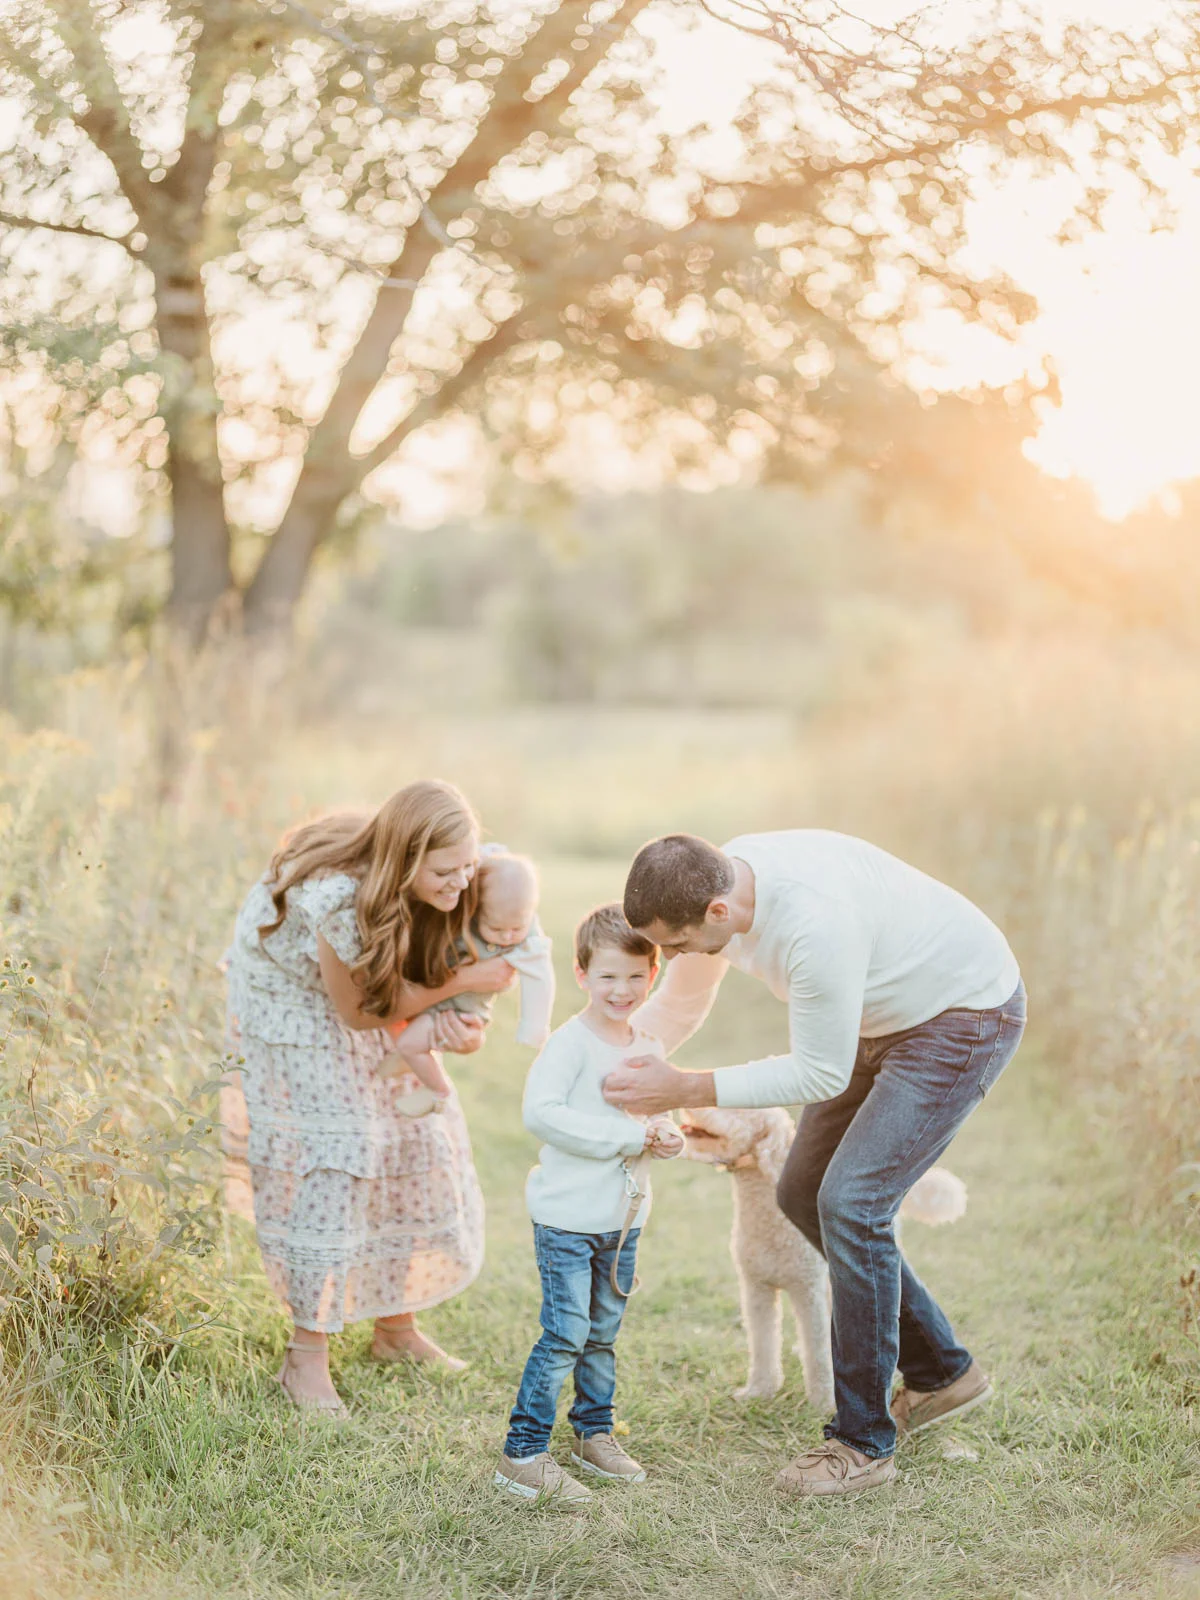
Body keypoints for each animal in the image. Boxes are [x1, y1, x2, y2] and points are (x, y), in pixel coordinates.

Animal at [684, 1107, 966, 1408]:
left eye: (738, 1109)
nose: (691, 1107)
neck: (770, 1220)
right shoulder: (757, 1289)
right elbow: (762, 1343)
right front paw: (759, 1390)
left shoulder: (808, 1289)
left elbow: (816, 1348)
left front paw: (822, 1401)